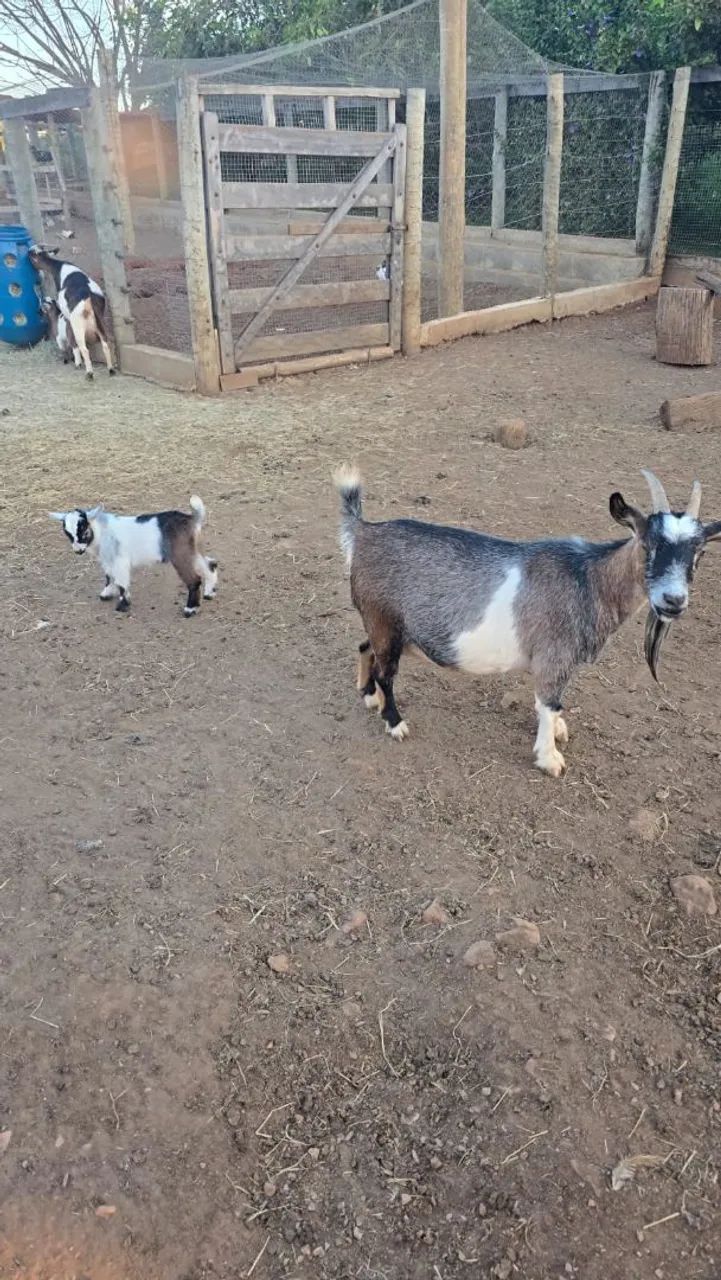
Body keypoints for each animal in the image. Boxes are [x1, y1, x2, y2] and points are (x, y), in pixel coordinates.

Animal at [30, 244, 114, 379]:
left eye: (31, 254)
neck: (58, 266)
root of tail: (88, 295)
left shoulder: (67, 315)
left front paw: (77, 362)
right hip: (99, 319)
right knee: (105, 343)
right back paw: (110, 369)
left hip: (78, 323)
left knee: (84, 348)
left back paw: (89, 373)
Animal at [49, 497, 219, 616]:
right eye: (67, 533)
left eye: (83, 529)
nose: (78, 550)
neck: (102, 531)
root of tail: (192, 518)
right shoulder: (108, 559)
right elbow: (109, 576)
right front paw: (106, 593)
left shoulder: (119, 560)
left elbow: (121, 582)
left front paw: (123, 605)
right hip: (193, 550)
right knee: (210, 564)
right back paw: (209, 593)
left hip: (180, 555)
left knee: (195, 579)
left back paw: (190, 610)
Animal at [334, 468, 721, 776]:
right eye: (647, 543)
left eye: (700, 552)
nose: (673, 600)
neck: (588, 579)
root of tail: (364, 532)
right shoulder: (554, 656)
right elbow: (549, 704)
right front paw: (550, 759)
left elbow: (554, 705)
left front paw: (560, 731)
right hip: (384, 620)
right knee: (386, 672)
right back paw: (395, 722)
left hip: (385, 625)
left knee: (365, 648)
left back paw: (369, 698)